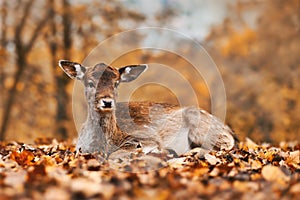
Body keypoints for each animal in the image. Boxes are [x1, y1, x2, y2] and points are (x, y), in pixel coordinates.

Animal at [59, 60, 237, 157]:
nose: (107, 102)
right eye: (90, 83)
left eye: (116, 83)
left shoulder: (147, 135)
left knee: (225, 144)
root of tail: (228, 128)